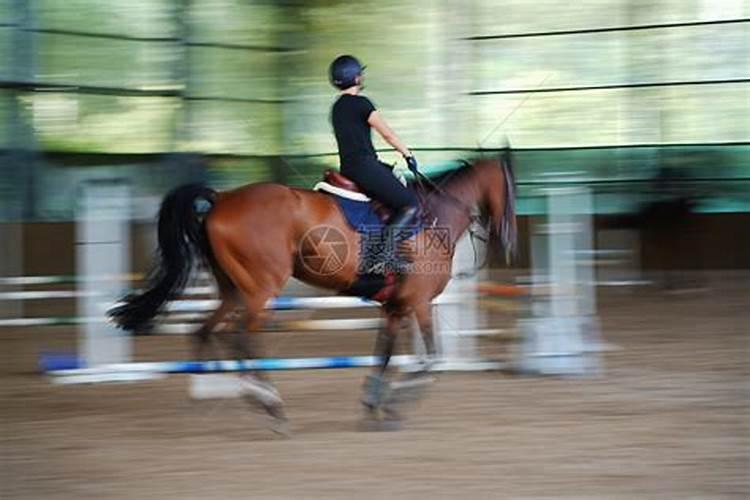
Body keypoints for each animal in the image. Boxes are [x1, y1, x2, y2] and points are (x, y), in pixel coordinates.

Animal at [110, 154, 516, 428]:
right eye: (513, 188)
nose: (509, 241)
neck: (432, 218)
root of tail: (222, 198)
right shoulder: (417, 303)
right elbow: (431, 359)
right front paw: (395, 403)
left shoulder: (395, 307)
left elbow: (385, 354)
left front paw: (374, 404)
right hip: (260, 290)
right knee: (241, 338)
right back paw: (270, 403)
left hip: (234, 290)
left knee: (206, 331)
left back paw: (233, 392)